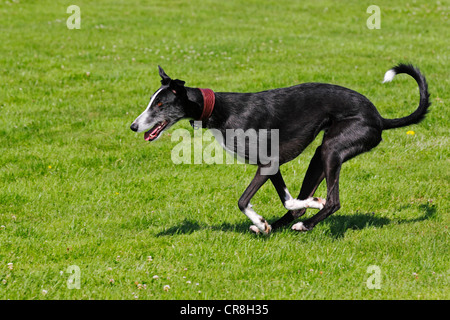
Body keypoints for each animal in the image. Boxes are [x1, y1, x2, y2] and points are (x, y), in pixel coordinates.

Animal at [129, 64, 428, 235]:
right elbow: (288, 201)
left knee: (333, 201)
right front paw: (265, 222)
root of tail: (379, 117)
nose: (133, 126)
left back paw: (305, 225)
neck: (220, 110)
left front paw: (274, 217)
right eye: (151, 102)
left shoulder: (268, 162)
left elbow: (245, 201)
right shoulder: (271, 166)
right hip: (321, 154)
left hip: (333, 148)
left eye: (160, 105)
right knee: (304, 204)